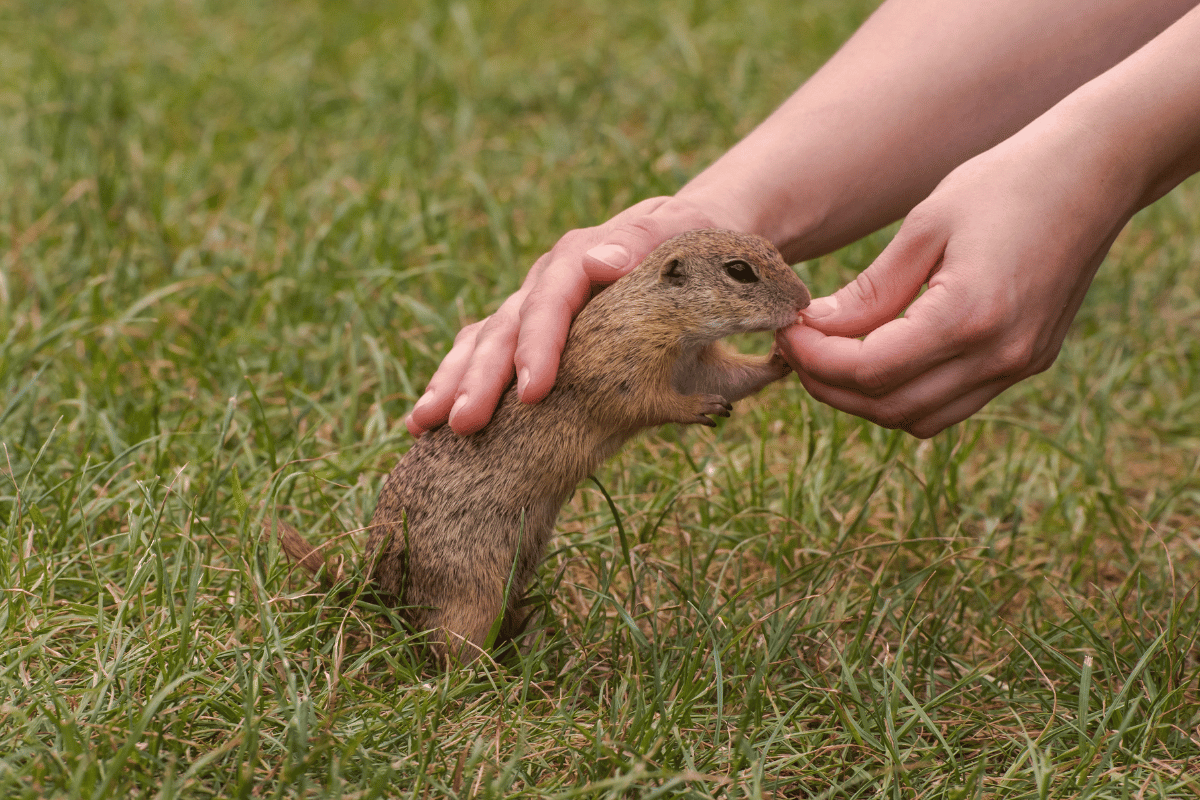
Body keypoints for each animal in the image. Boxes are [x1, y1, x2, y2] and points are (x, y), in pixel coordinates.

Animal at [276, 227, 811, 666]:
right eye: (739, 271)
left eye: (772, 250)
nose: (805, 302)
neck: (659, 317)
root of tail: (378, 587)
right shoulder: (622, 365)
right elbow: (648, 402)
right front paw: (700, 407)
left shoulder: (699, 363)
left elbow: (733, 376)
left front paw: (781, 358)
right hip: (471, 594)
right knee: (448, 651)